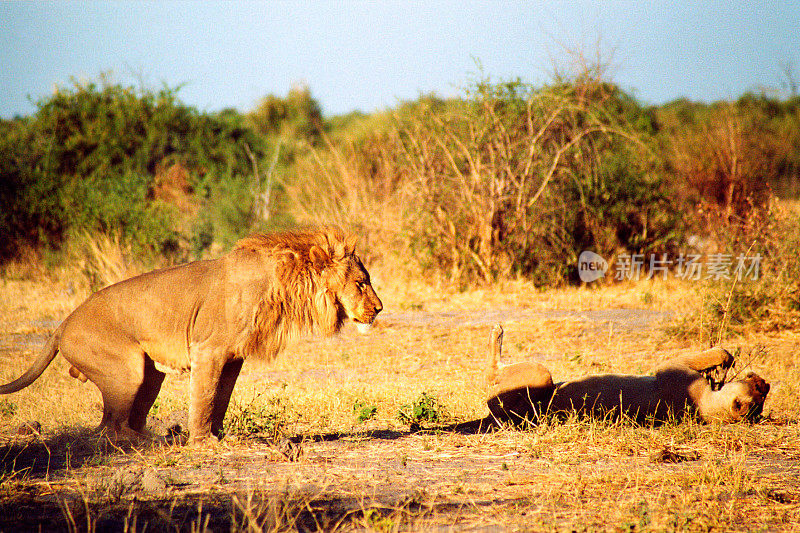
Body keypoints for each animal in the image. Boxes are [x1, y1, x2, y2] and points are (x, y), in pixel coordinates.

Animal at [0, 225, 382, 444]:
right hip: (125, 370)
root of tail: (63, 324)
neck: (281, 286)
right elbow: (203, 396)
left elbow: (219, 398)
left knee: (114, 422)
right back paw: (151, 441)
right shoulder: (207, 350)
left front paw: (218, 435)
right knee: (108, 429)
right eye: (361, 282)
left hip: (148, 374)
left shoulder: (233, 358)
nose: (379, 309)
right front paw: (202, 443)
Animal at [482, 324, 768, 424]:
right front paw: (723, 365)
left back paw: (496, 331)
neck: (705, 407)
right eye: (760, 388)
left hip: (542, 376)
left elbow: (711, 354)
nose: (765, 382)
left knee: (491, 374)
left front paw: (725, 358)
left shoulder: (672, 368)